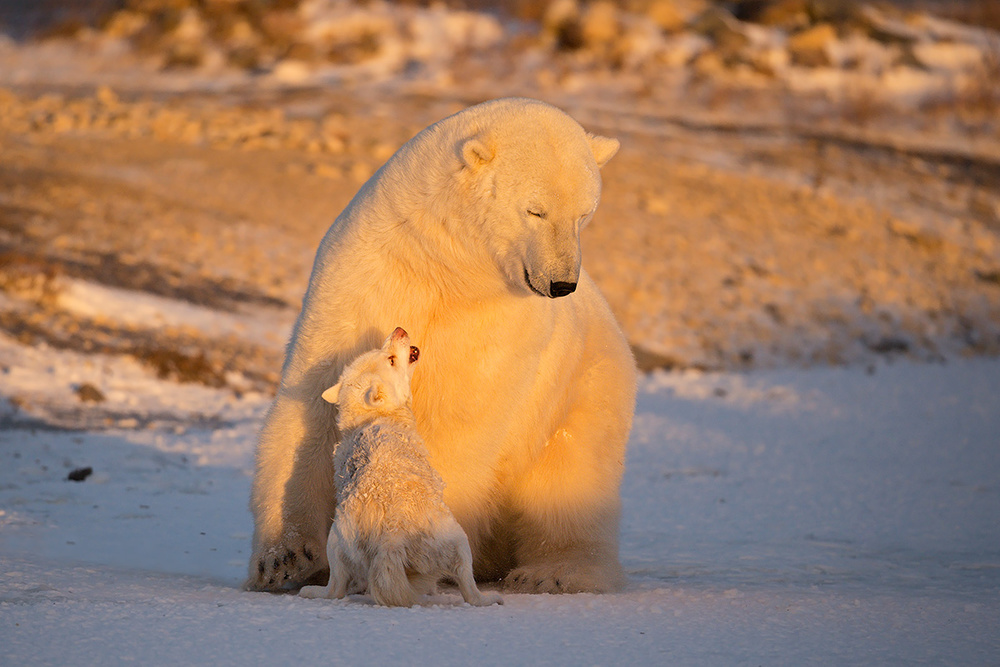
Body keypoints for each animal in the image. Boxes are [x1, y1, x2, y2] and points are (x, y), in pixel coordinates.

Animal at [298, 327, 502, 607]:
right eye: (392, 360)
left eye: (385, 353)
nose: (399, 330)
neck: (373, 418)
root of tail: (391, 539)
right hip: (459, 540)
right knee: (469, 589)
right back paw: (489, 598)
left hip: (335, 540)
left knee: (335, 589)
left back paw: (311, 592)